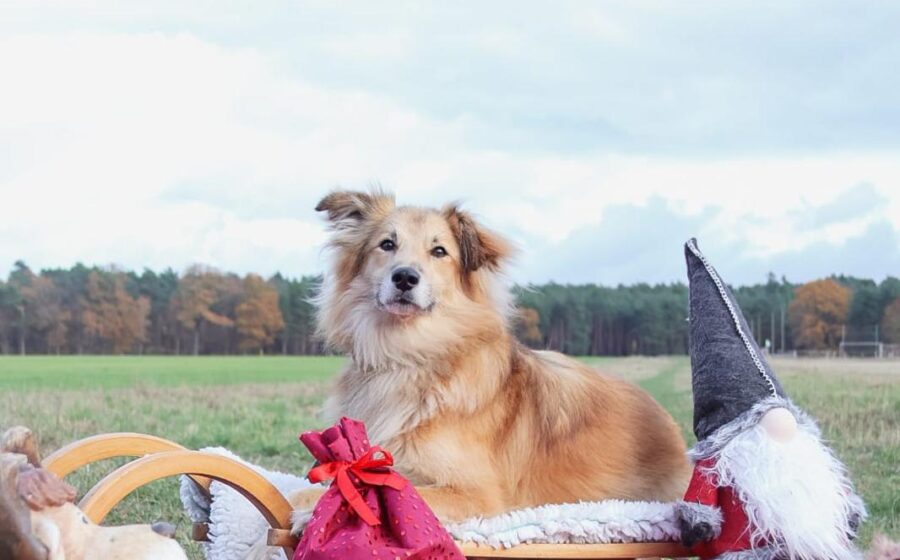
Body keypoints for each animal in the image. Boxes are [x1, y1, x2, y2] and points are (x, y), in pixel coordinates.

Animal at [287, 190, 691, 527]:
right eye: (387, 244)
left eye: (439, 251)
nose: (404, 278)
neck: (410, 354)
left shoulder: (477, 494)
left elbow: (383, 491)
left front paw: (307, 506)